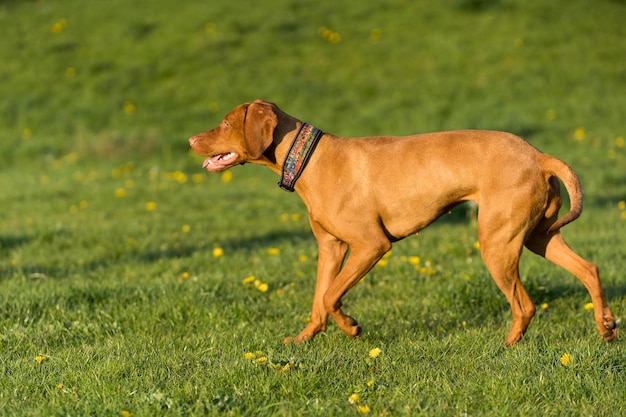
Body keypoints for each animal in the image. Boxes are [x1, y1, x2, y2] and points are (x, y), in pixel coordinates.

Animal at [188, 100, 616, 344]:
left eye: (225, 123)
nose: (191, 140)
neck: (308, 159)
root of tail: (539, 155)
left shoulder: (371, 245)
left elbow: (330, 296)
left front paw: (351, 327)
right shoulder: (330, 248)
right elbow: (318, 299)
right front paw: (304, 338)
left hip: (497, 244)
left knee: (525, 305)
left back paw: (508, 346)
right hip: (538, 236)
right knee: (589, 269)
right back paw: (606, 326)